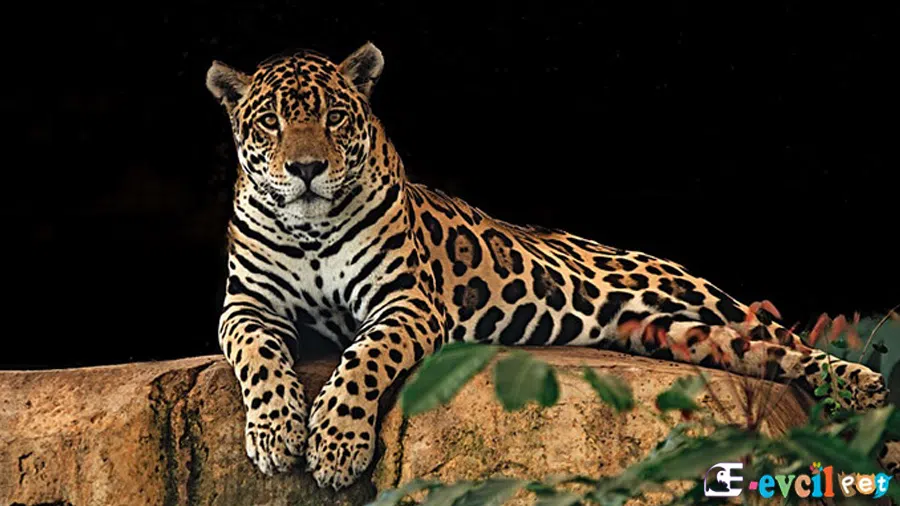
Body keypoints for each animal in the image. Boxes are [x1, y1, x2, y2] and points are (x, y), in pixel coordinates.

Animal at [205, 42, 896, 490]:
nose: (306, 168)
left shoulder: (405, 302)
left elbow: (363, 361)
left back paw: (863, 387)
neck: (309, 227)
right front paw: (276, 434)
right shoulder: (247, 305)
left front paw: (335, 444)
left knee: (788, 339)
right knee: (762, 354)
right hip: (678, 335)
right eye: (270, 123)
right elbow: (257, 355)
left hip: (700, 294)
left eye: (334, 118)